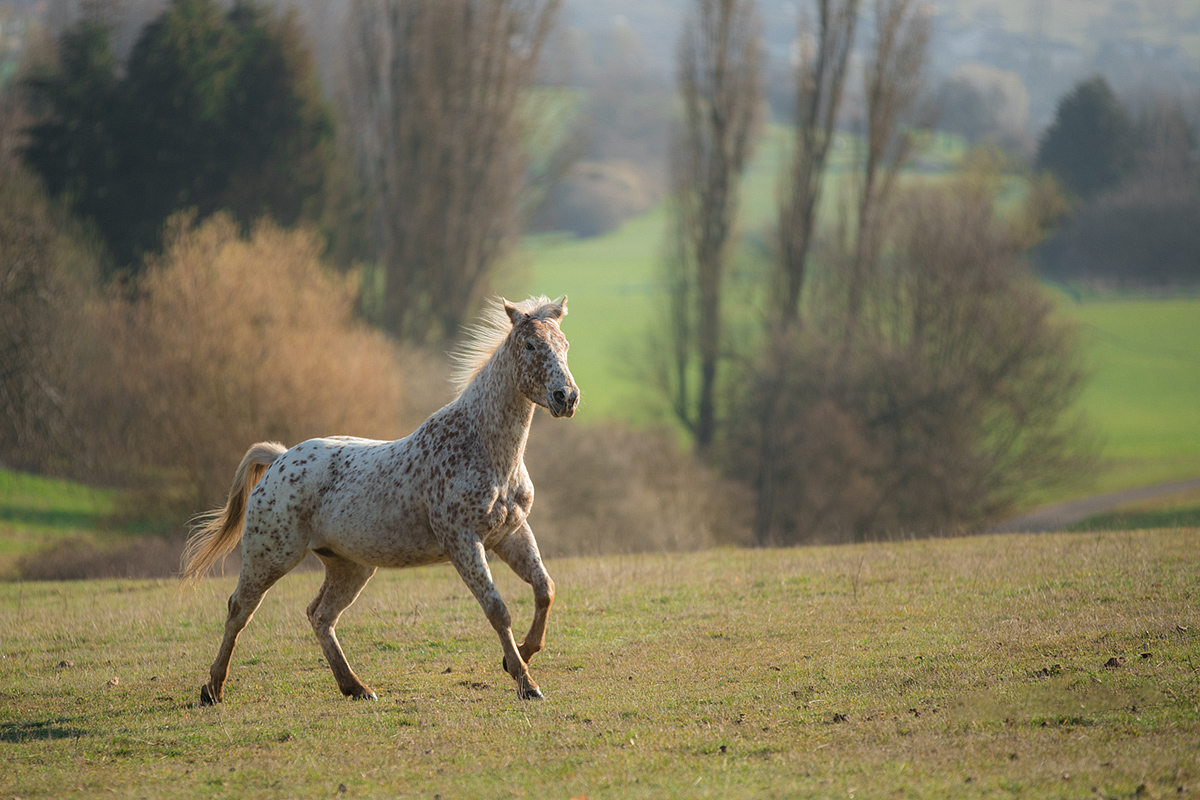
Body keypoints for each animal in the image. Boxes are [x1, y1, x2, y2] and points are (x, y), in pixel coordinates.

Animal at [178, 293, 585, 700]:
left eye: (565, 345)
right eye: (530, 345)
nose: (566, 397)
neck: (483, 448)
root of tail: (278, 459)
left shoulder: (510, 535)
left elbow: (545, 590)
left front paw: (523, 654)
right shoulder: (464, 542)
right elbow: (498, 610)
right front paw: (526, 682)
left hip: (350, 566)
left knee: (320, 615)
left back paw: (355, 687)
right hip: (270, 557)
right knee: (239, 611)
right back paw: (212, 688)